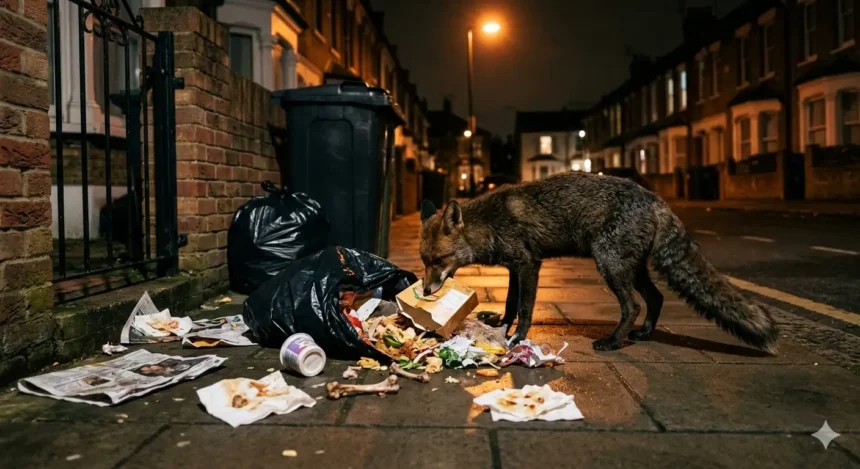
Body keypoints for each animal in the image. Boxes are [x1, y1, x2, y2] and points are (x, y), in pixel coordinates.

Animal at [419, 171, 779, 353]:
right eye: (424, 261)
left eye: (439, 260)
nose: (424, 291)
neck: (490, 223)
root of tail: (658, 201)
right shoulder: (514, 268)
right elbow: (509, 304)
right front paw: (501, 324)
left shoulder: (529, 264)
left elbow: (524, 308)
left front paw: (516, 339)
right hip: (631, 268)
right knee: (656, 298)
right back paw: (644, 333)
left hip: (609, 264)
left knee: (633, 306)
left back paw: (615, 342)